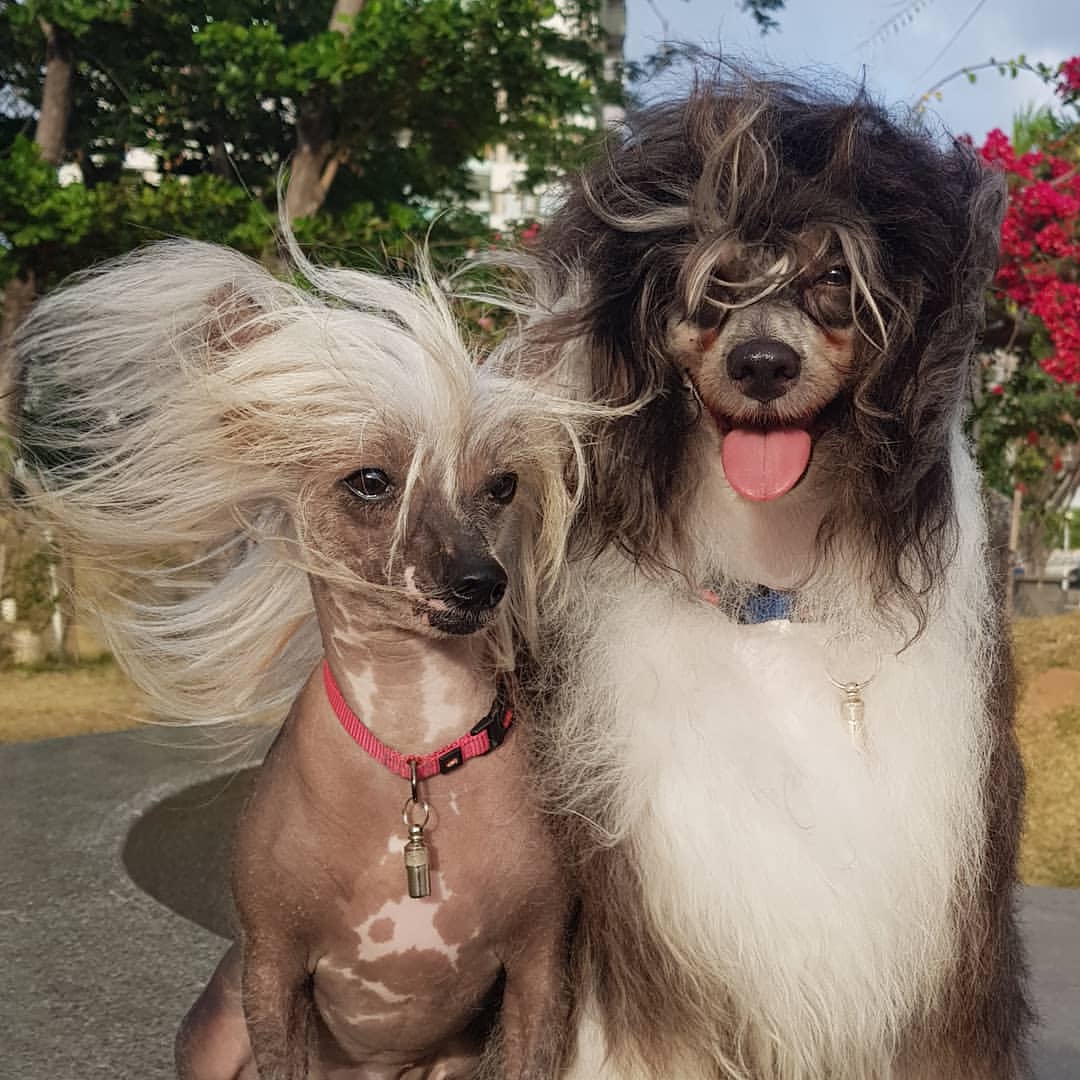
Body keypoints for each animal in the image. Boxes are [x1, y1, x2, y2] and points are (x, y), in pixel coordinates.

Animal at [14, 245, 591, 1080]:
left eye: (503, 486)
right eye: (371, 481)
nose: (481, 582)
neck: (413, 745)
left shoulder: (539, 969)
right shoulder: (271, 967)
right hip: (218, 1029)